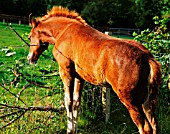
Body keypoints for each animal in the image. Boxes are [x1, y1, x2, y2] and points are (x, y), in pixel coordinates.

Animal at [26, 6, 161, 134]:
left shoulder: (66, 72)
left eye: (29, 37)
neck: (63, 32)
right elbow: (76, 103)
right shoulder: (79, 77)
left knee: (145, 128)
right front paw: (74, 130)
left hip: (131, 101)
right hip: (148, 103)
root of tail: (148, 59)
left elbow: (68, 102)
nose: (30, 58)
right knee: (154, 126)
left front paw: (69, 130)